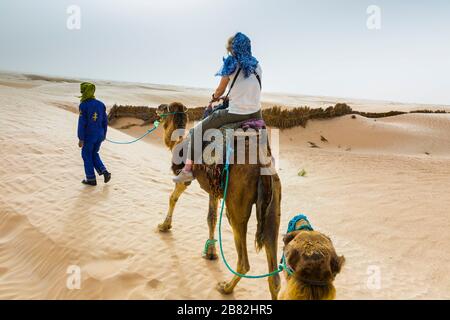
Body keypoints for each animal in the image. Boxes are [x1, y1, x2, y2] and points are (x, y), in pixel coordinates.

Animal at [156, 101, 282, 298]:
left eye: (166, 107)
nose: (158, 108)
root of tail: (264, 166)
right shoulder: (214, 190)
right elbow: (211, 218)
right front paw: (211, 253)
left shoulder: (186, 179)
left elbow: (173, 198)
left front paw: (164, 226)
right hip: (273, 204)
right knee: (274, 275)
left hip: (236, 204)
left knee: (244, 260)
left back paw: (226, 287)